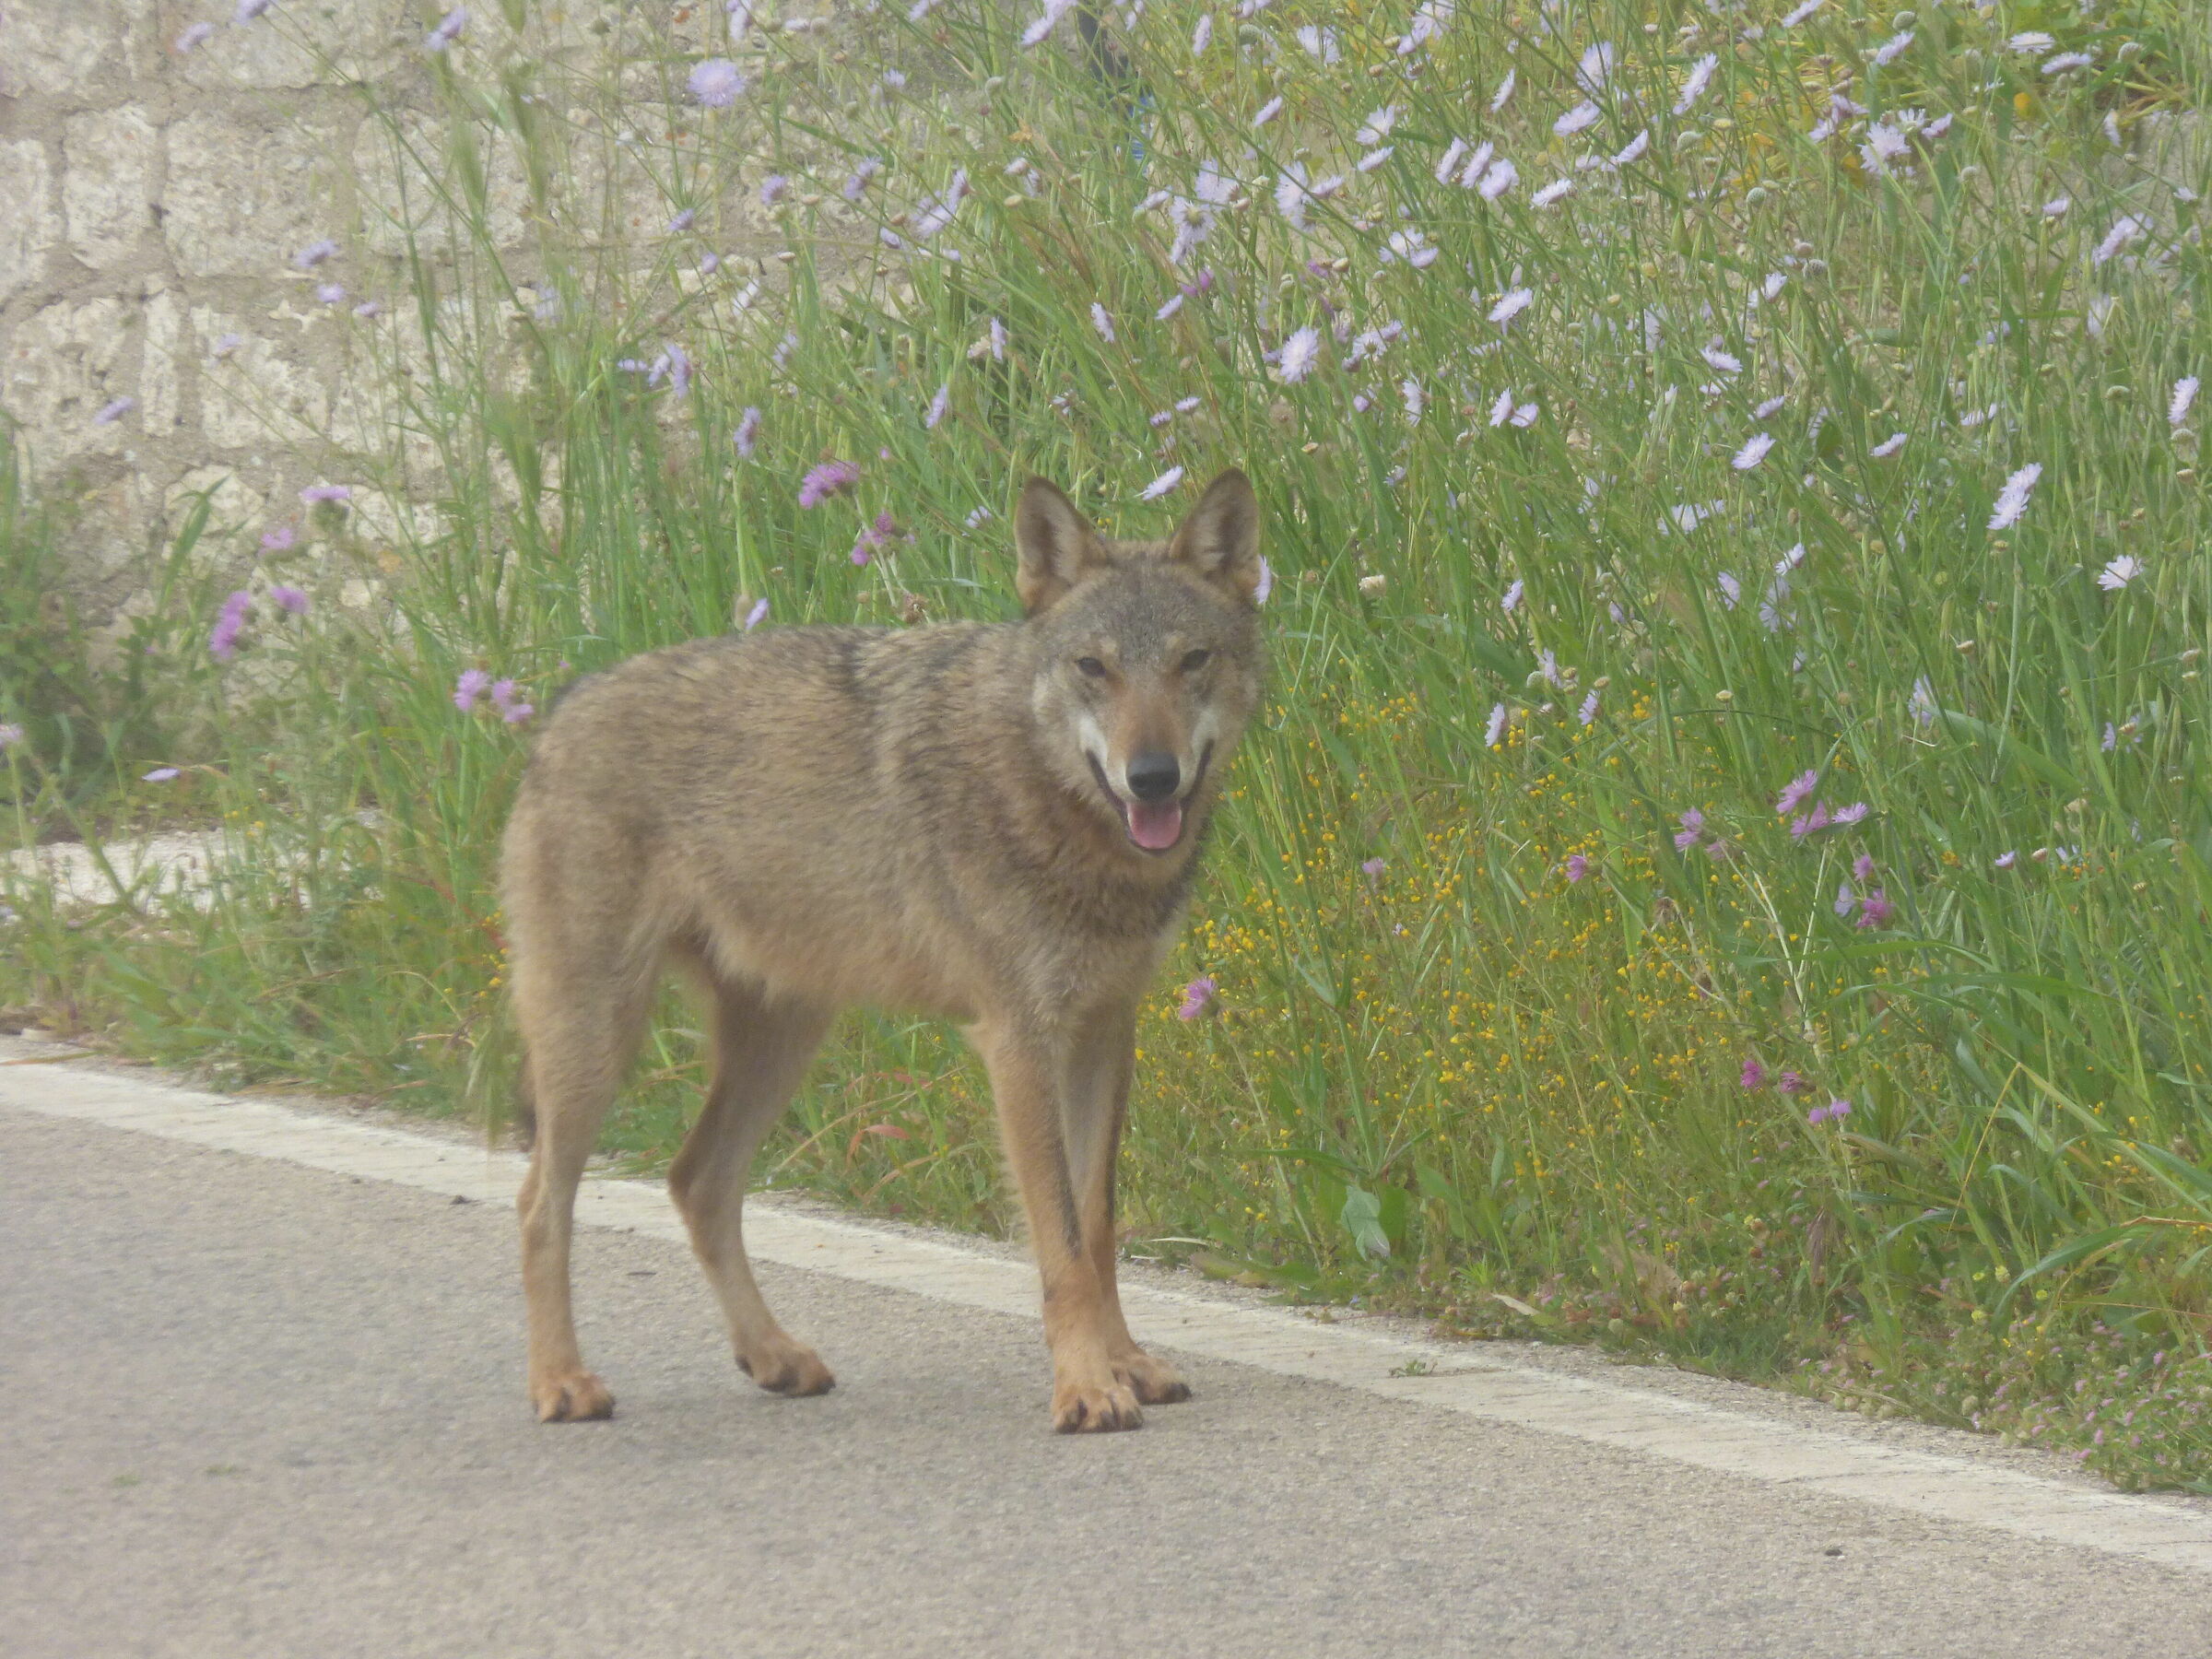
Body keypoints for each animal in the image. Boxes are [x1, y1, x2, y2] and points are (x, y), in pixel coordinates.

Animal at [502, 468, 1265, 1432]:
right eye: (1094, 668)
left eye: (1191, 661)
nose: (1153, 778)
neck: (1050, 803)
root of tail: (559, 712)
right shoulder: (1017, 1041)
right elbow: (1058, 1241)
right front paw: (1089, 1388)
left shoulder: (1104, 1031)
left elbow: (1096, 1225)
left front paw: (1127, 1364)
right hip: (598, 1041)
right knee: (540, 1201)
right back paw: (560, 1382)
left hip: (782, 1040)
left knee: (696, 1183)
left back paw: (775, 1356)